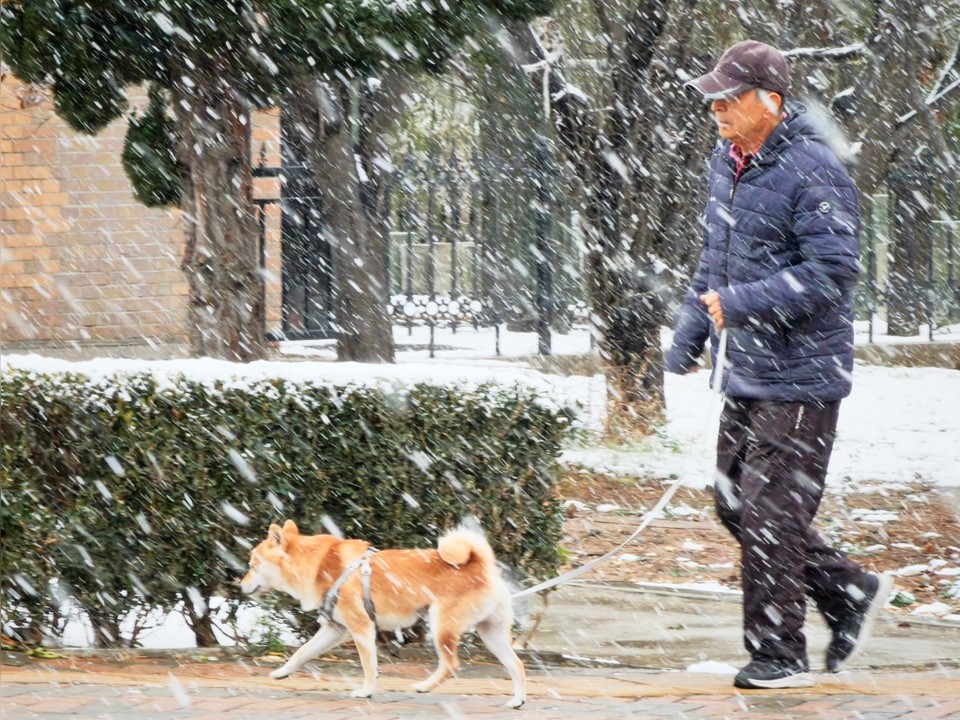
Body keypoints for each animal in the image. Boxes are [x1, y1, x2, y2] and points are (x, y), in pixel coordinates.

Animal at [240, 520, 524, 704]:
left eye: (253, 565)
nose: (240, 586)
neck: (318, 564)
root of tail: (481, 564)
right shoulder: (334, 630)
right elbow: (301, 652)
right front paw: (282, 671)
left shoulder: (361, 628)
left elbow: (368, 666)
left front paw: (365, 691)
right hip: (490, 633)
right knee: (516, 664)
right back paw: (517, 702)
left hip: (441, 624)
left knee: (451, 664)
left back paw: (423, 687)